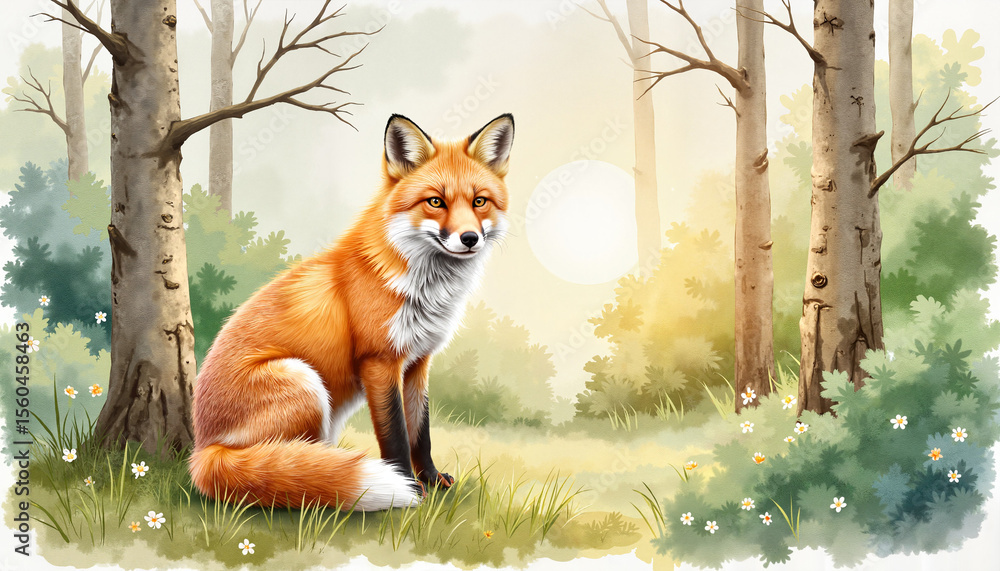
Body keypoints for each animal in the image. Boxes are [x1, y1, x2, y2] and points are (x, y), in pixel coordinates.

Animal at [188, 113, 515, 511]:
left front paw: (432, 480)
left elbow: (421, 431)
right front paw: (409, 488)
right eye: (435, 201)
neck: (422, 288)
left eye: (479, 201)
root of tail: (203, 450)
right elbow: (395, 434)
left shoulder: (418, 362)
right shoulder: (379, 361)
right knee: (286, 461)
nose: (469, 239)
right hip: (305, 382)